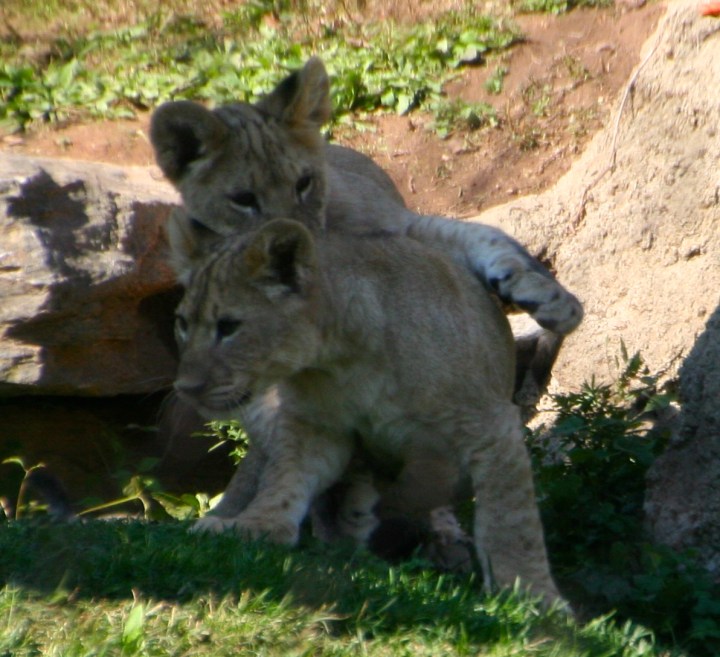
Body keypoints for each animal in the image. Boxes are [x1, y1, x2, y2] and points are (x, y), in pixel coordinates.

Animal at [171, 217, 566, 607]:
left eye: (228, 327)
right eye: (183, 324)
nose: (185, 388)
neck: (345, 357)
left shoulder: (491, 428)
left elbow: (511, 521)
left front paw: (535, 596)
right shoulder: (317, 426)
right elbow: (284, 478)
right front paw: (257, 526)